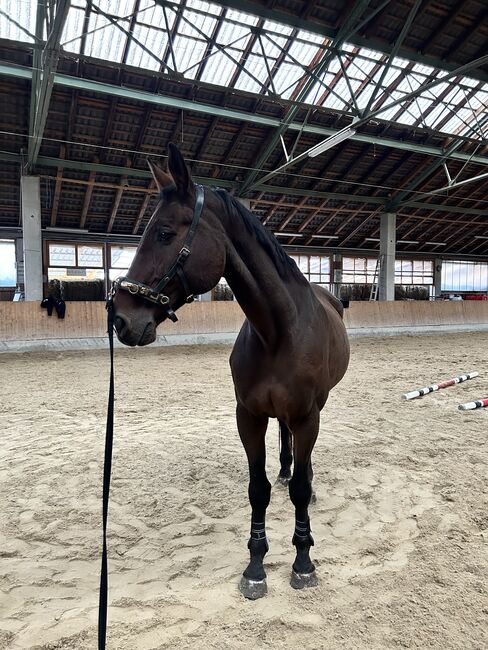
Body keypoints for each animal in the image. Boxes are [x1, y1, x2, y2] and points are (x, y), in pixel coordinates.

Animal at [111, 144, 350, 599]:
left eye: (164, 233)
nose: (120, 318)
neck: (277, 331)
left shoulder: (307, 415)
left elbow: (299, 490)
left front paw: (303, 560)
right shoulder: (249, 416)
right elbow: (258, 490)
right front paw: (255, 566)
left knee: (302, 464)